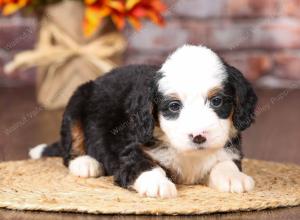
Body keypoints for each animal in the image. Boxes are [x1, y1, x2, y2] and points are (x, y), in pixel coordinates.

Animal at [29, 44, 256, 198]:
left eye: (217, 101)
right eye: (174, 106)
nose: (198, 136)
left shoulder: (229, 149)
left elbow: (225, 161)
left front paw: (233, 177)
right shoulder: (130, 151)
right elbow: (144, 165)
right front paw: (158, 184)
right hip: (77, 100)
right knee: (71, 145)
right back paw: (85, 163)